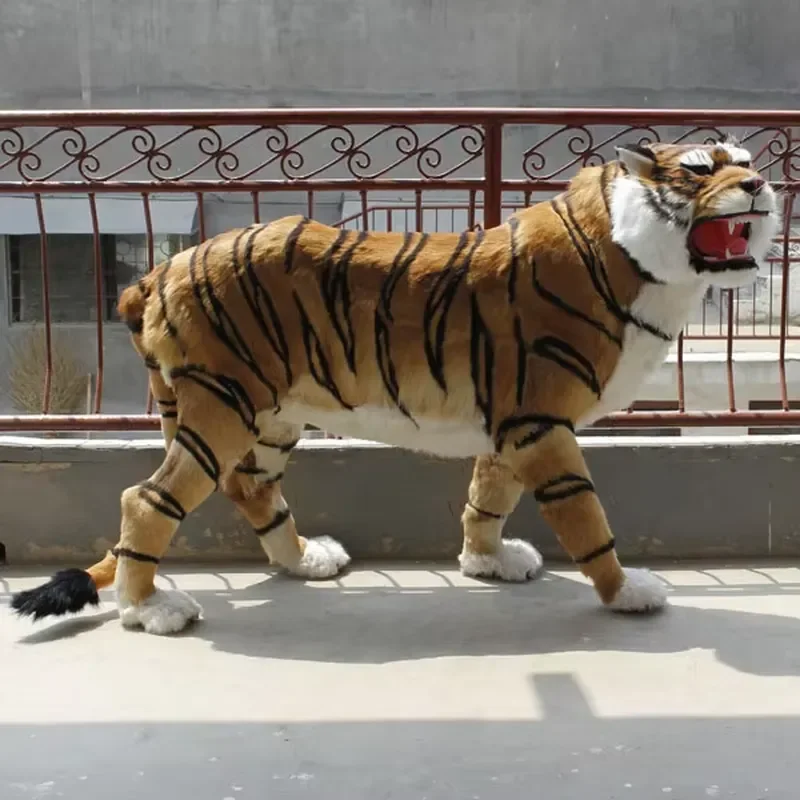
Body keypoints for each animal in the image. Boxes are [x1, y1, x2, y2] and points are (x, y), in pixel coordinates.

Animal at [11, 136, 778, 636]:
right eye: (700, 169)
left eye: (745, 161)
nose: (762, 186)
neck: (636, 255)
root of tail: (158, 270)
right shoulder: (539, 421)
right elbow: (585, 515)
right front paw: (626, 593)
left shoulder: (515, 422)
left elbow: (487, 496)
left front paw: (486, 561)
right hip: (223, 406)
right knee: (147, 499)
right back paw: (151, 609)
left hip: (272, 416)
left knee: (248, 487)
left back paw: (305, 560)